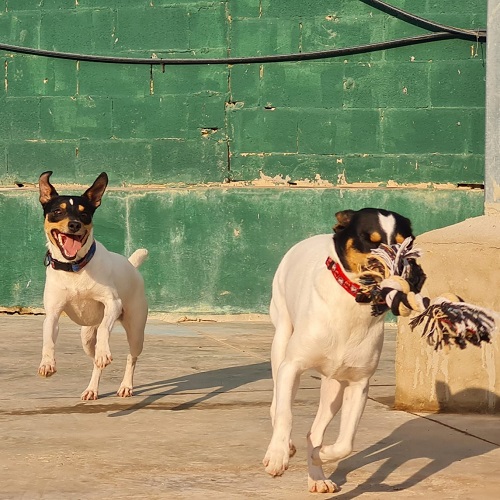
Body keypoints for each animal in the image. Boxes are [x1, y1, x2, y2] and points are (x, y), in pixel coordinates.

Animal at [37, 172, 147, 402]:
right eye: (57, 211)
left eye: (84, 213)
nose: (74, 225)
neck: (74, 268)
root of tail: (132, 266)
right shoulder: (52, 314)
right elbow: (47, 339)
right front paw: (47, 363)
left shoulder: (112, 303)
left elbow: (106, 328)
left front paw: (105, 352)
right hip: (86, 338)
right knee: (95, 361)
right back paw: (92, 389)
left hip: (136, 331)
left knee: (130, 357)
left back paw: (125, 385)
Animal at [262, 206, 414, 492]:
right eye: (371, 240)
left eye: (404, 243)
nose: (398, 271)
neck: (353, 302)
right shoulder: (292, 366)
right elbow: (285, 414)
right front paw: (278, 455)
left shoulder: (358, 383)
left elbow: (345, 444)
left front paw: (320, 455)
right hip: (281, 342)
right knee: (277, 404)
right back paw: (285, 446)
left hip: (334, 385)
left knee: (314, 430)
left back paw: (317, 475)